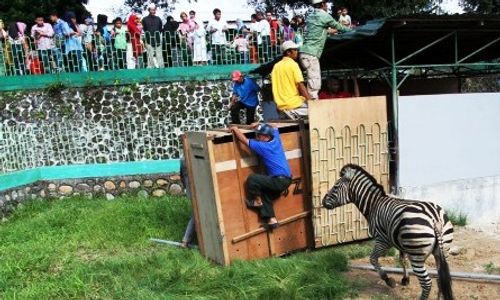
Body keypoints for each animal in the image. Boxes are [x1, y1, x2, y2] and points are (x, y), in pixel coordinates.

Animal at [322, 164, 456, 300]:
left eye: (335, 186)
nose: (323, 202)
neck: (374, 205)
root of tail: (435, 217)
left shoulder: (382, 240)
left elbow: (373, 259)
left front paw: (389, 280)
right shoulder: (400, 241)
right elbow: (402, 259)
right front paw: (405, 279)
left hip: (417, 255)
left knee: (427, 283)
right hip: (443, 251)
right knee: (440, 280)